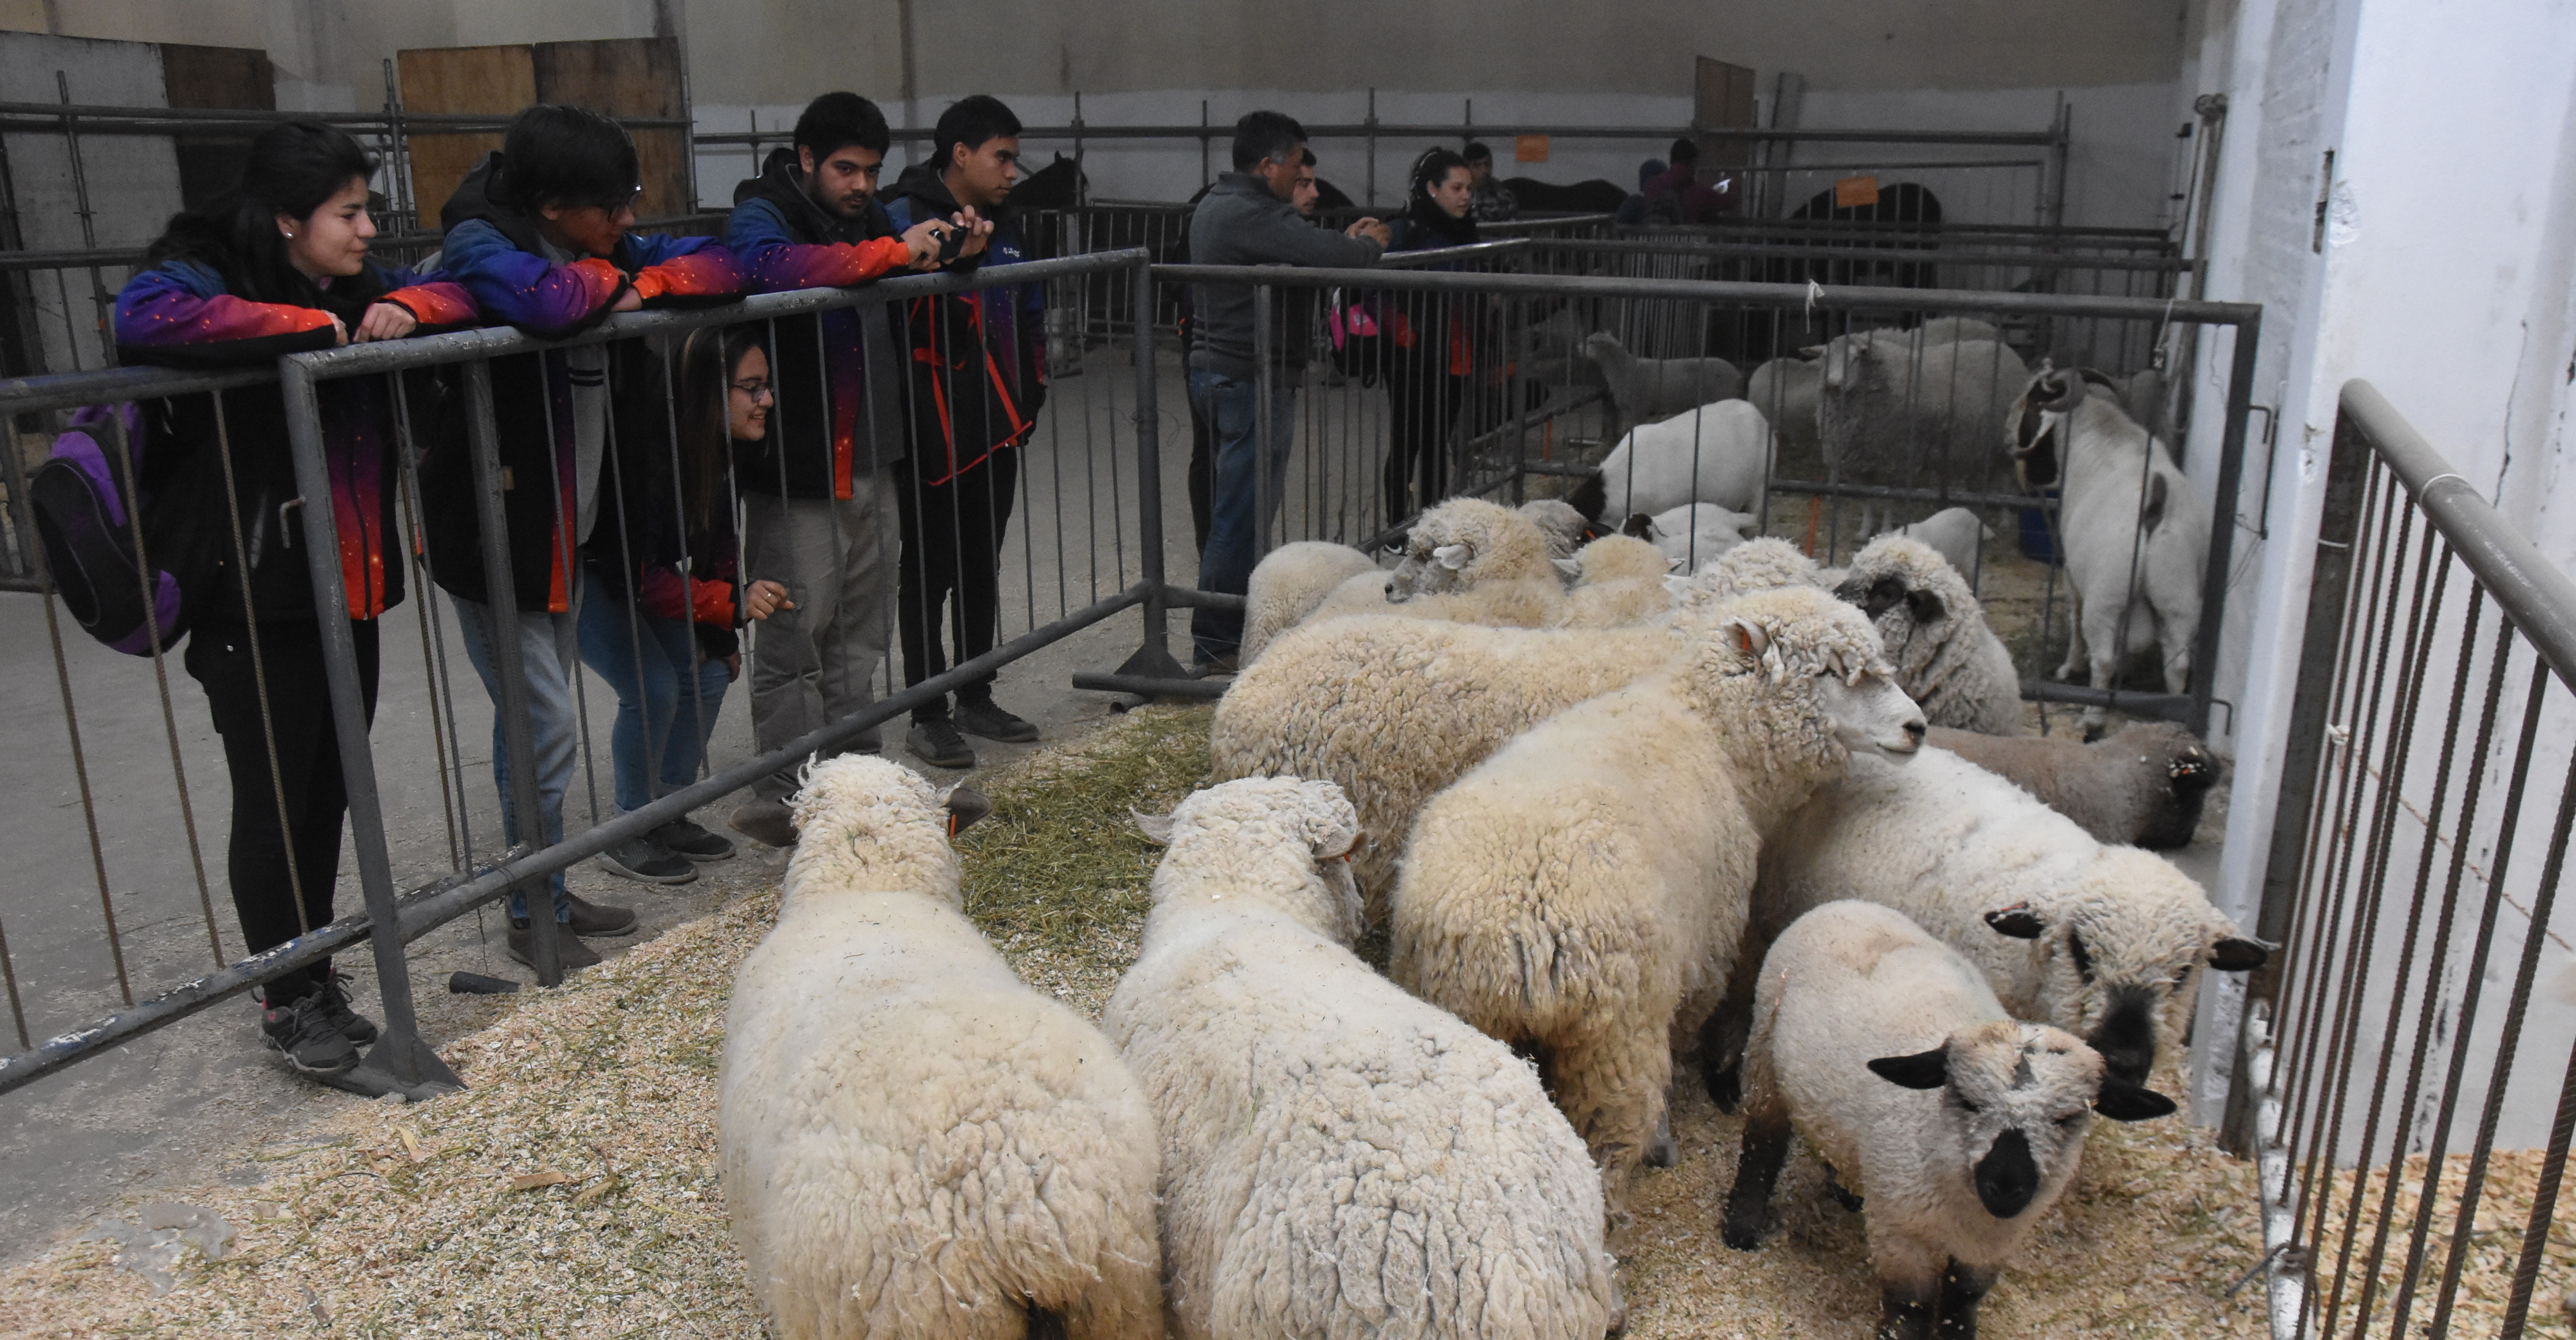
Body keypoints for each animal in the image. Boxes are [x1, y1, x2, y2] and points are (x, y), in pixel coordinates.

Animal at [1390, 585, 1928, 1235]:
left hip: (1470, 1016)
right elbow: (1684, 1033)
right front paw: (1667, 1139)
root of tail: (1518, 930)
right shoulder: (1704, 954)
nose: (1917, 726)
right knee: (1609, 1141)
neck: (1712, 730)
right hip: (1615, 1038)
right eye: (1830, 670)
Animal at [1720, 900, 2177, 1340]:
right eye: (1968, 1101)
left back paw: (1846, 1190)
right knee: (1762, 1145)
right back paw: (1741, 1230)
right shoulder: (1901, 1236)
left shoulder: (1991, 1247)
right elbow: (1910, 1310)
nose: (2006, 1185)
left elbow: (1963, 1298)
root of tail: (1843, 905)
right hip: (1764, 1059)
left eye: (2067, 1118)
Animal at [1818, 335, 2030, 535]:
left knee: (2008, 483)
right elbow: (1867, 501)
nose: (1833, 384)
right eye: (1826, 358)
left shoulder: (1895, 462)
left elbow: (1888, 501)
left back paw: (2005, 520)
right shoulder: (1858, 463)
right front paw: (1864, 530)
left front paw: (1885, 529)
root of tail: (2010, 352)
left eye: (1855, 358)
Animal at [2006, 365, 2211, 739]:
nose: (2008, 433)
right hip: (2178, 596)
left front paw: (2068, 669)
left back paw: (2092, 719)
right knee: (2177, 662)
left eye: (2032, 399)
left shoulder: (2073, 573)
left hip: (2106, 597)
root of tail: (2155, 503)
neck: (2103, 434)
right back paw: (2169, 721)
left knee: (2102, 658)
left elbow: (2074, 615)